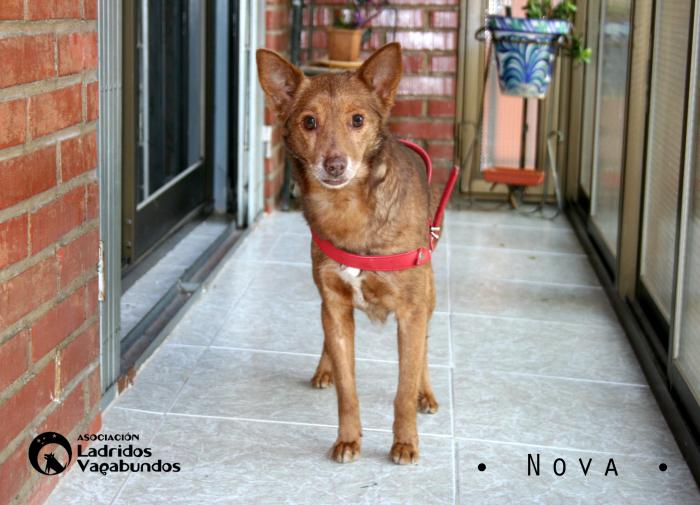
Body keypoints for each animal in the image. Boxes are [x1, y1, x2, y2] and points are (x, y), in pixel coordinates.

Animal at [257, 42, 442, 465]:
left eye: (357, 120)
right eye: (309, 122)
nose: (335, 164)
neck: (348, 210)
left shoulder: (411, 311)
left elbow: (404, 387)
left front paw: (405, 441)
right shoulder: (336, 306)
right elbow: (347, 388)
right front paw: (347, 438)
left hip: (429, 294)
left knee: (424, 351)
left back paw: (426, 392)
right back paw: (323, 369)